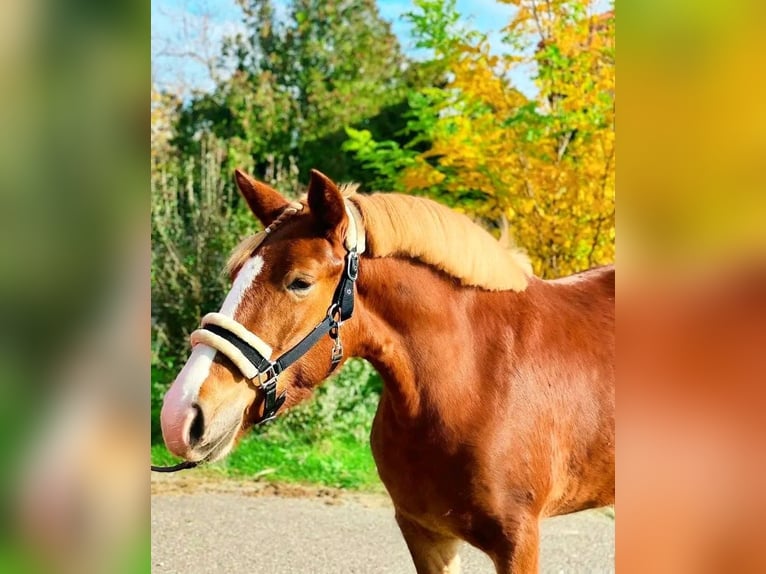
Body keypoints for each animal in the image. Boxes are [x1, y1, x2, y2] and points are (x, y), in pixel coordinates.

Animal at [159, 169, 616, 572]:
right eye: (237, 273)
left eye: (300, 282)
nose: (181, 415)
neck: (474, 380)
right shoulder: (425, 533)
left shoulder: (517, 542)